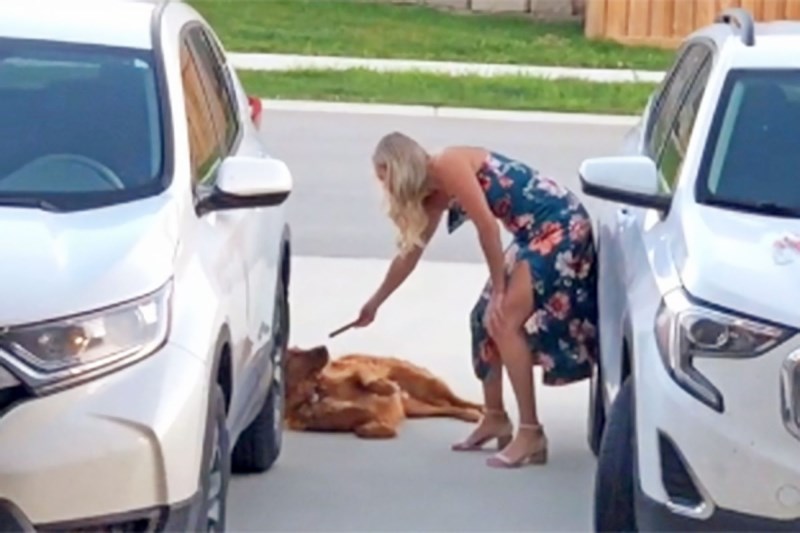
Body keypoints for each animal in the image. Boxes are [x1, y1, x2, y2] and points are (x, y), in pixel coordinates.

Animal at [284, 344, 484, 436]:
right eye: (294, 353)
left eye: (297, 348)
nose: (324, 347)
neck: (315, 395)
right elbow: (366, 428)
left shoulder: (357, 368)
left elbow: (365, 378)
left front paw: (386, 387)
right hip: (417, 407)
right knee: (447, 407)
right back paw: (469, 414)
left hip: (428, 384)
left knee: (457, 400)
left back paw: (479, 409)